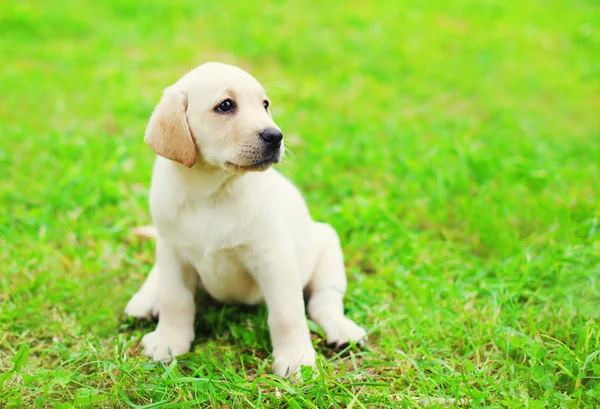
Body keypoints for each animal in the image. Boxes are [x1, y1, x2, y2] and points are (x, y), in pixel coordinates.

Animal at [124, 62, 364, 378]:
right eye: (225, 105)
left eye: (265, 105)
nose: (276, 136)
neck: (211, 192)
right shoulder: (173, 252)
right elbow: (175, 300)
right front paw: (169, 341)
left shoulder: (274, 259)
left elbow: (287, 314)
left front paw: (296, 359)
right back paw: (145, 300)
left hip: (327, 245)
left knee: (324, 302)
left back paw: (342, 329)